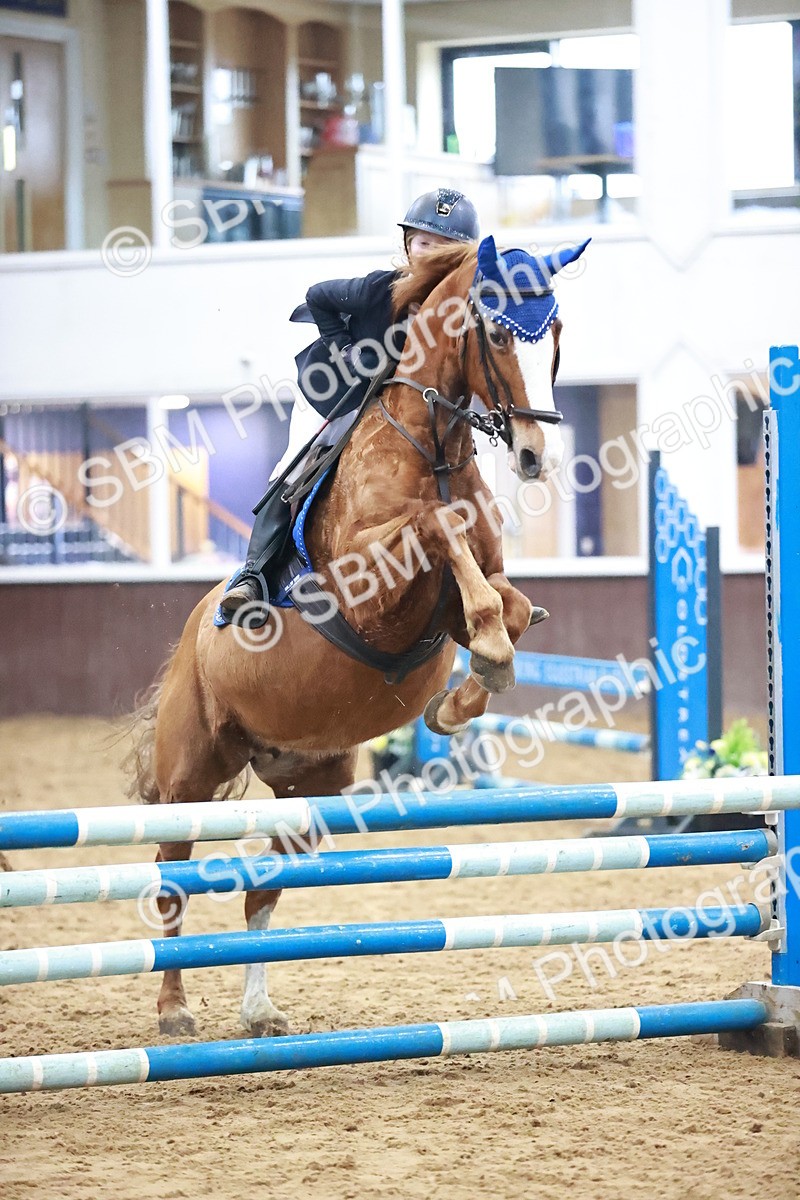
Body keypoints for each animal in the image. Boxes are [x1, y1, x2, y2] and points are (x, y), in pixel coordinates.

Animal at [126, 233, 590, 1038]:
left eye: (556, 334)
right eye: (500, 335)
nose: (538, 458)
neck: (433, 446)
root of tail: (188, 639)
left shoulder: (462, 597)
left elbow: (507, 604)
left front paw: (464, 694)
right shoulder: (368, 587)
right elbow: (437, 528)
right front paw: (485, 660)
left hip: (309, 785)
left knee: (261, 889)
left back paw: (259, 1009)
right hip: (191, 773)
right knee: (172, 876)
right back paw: (176, 1011)